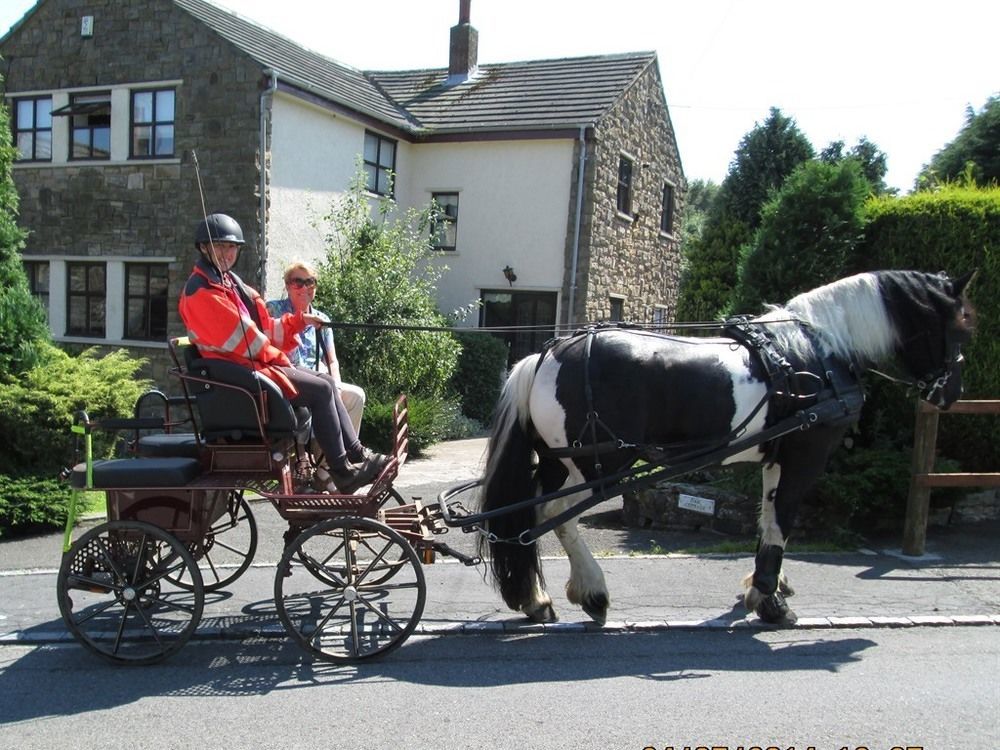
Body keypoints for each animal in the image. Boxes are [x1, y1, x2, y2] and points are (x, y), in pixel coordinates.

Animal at [476, 274, 976, 624]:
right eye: (961, 329)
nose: (951, 394)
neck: (817, 350)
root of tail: (546, 355)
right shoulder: (805, 458)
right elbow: (783, 520)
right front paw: (771, 603)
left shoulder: (774, 459)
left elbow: (767, 519)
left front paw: (765, 587)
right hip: (598, 468)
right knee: (553, 517)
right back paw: (591, 592)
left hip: (561, 465)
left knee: (528, 519)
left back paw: (536, 598)